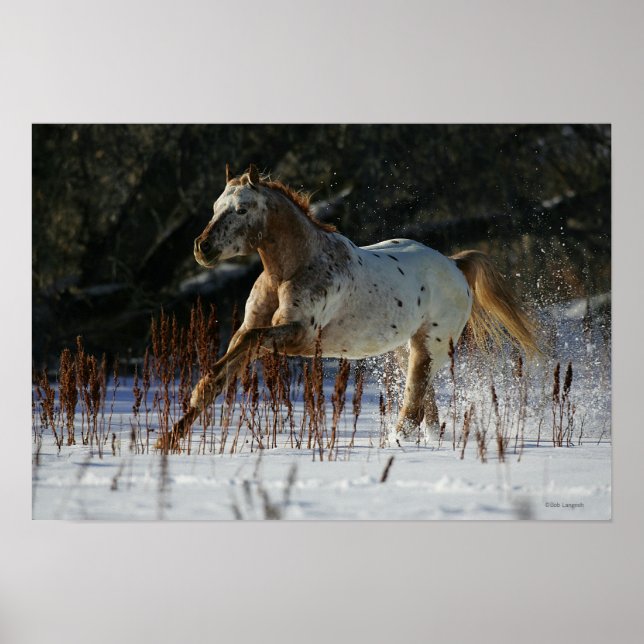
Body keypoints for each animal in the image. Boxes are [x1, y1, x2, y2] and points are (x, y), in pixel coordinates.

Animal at [163, 163, 538, 449]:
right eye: (215, 208)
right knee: (426, 409)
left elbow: (246, 343)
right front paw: (168, 440)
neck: (293, 268)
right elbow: (226, 367)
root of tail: (455, 265)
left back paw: (393, 445)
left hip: (429, 349)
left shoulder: (298, 336)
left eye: (241, 209)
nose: (202, 247)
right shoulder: (253, 327)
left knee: (413, 408)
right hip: (405, 350)